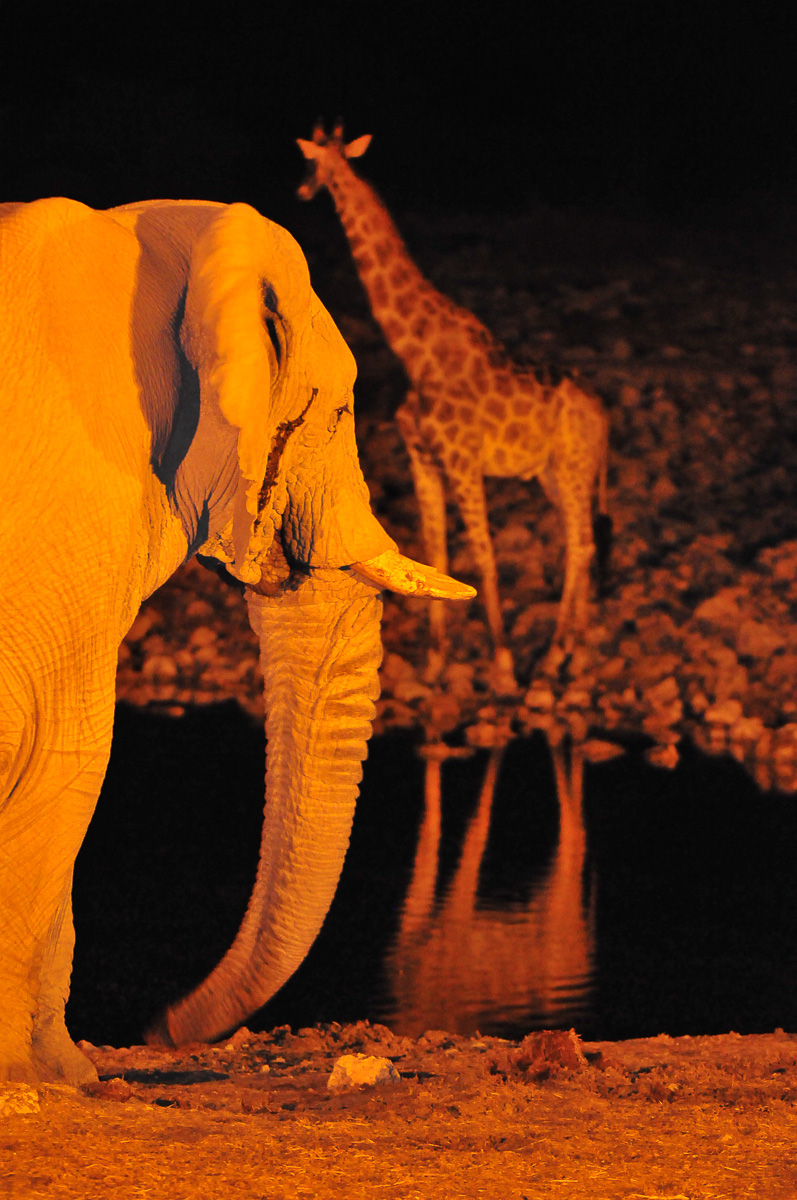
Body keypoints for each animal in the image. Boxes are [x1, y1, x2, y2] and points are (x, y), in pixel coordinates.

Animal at [0, 195, 474, 1085]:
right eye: (338, 412)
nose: (161, 1027)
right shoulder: (81, 503)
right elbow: (68, 756)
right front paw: (34, 1081)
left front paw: (67, 1079)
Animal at [297, 123, 609, 682]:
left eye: (318, 163)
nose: (304, 189)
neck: (413, 352)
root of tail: (605, 414)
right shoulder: (421, 458)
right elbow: (436, 551)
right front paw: (436, 661)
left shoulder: (463, 461)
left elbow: (483, 554)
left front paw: (503, 662)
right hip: (555, 474)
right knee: (584, 542)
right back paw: (575, 644)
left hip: (574, 471)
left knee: (579, 544)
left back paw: (556, 652)